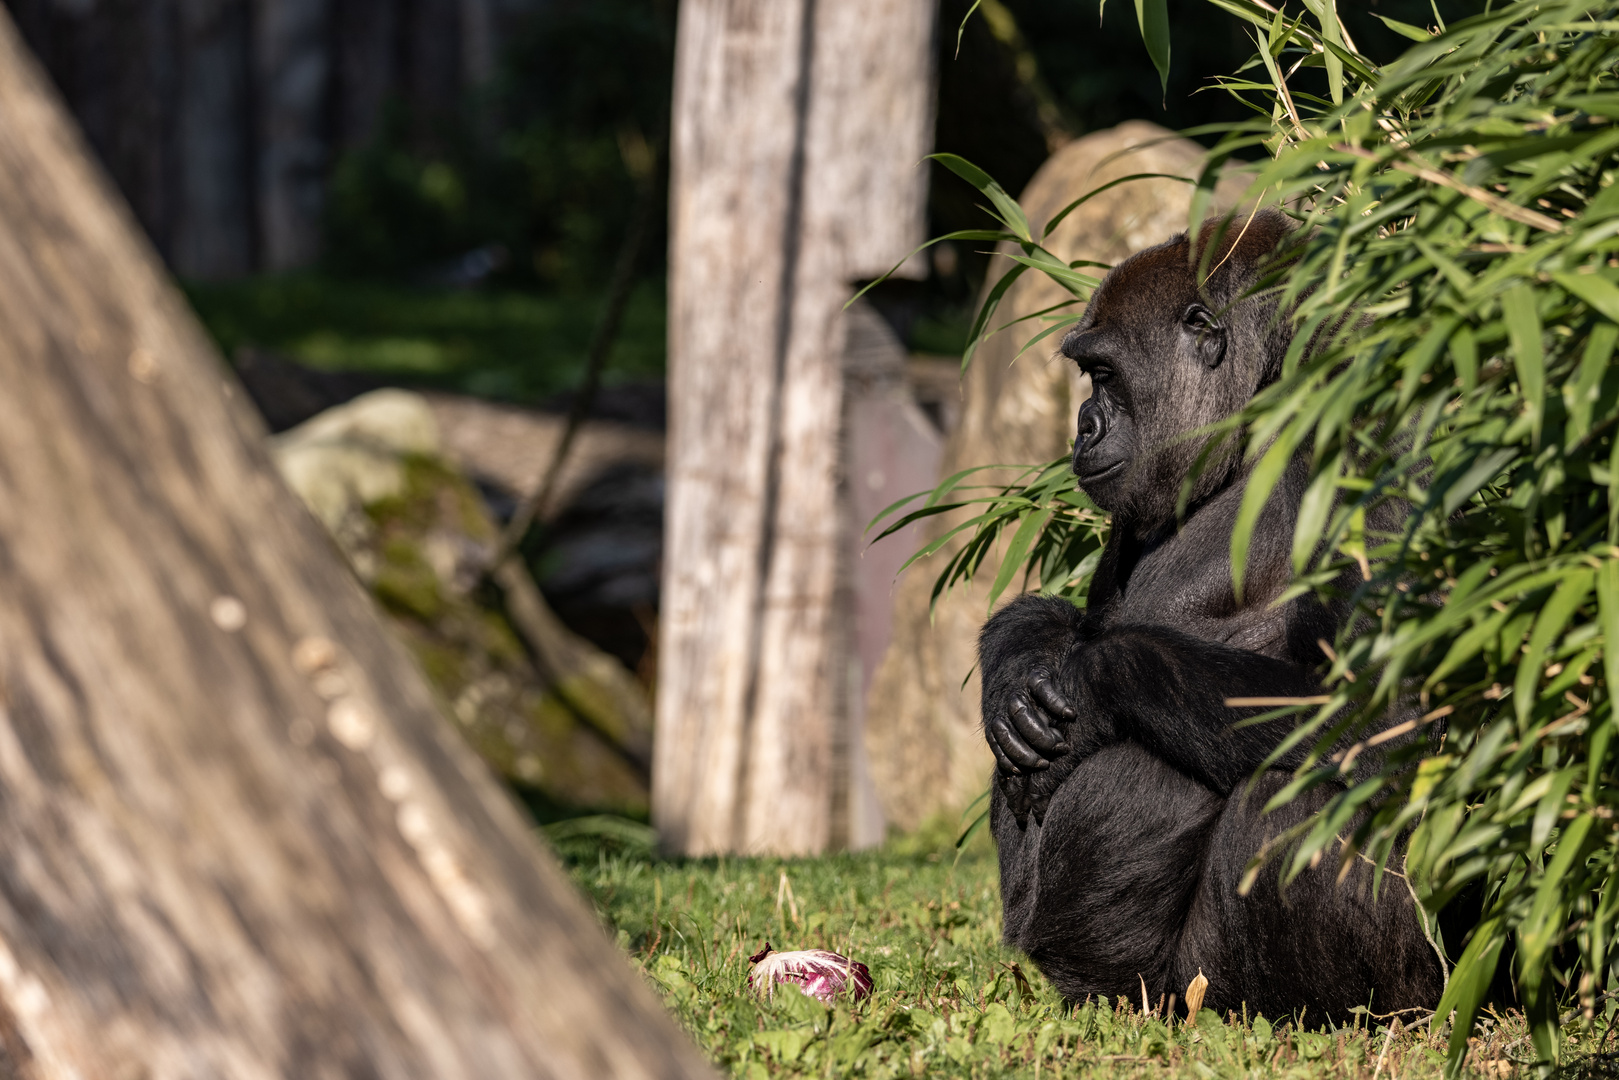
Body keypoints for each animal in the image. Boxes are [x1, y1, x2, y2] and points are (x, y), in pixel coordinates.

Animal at [977, 208, 1450, 1023]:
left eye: (1104, 375)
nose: (1084, 425)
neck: (1269, 401)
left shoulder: (1377, 418)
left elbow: (1384, 706)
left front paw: (1091, 686)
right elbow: (1073, 626)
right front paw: (1016, 660)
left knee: (1303, 796)